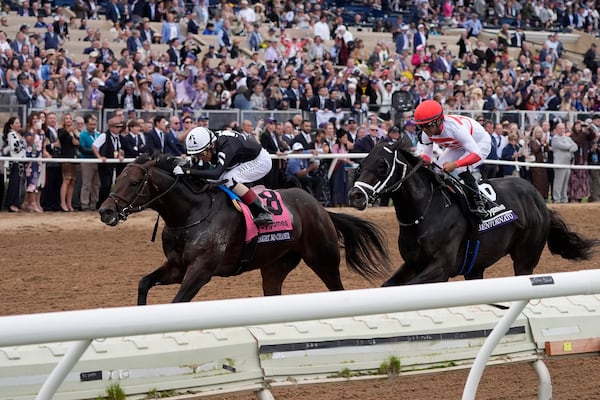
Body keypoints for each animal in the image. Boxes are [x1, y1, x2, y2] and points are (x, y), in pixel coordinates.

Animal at [98, 155, 392, 304]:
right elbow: (143, 283)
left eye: (134, 182)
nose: (105, 211)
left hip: (323, 258)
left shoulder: (201, 270)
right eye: (119, 177)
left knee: (337, 289)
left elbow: (177, 302)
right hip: (274, 267)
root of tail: (319, 207)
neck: (190, 213)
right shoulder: (177, 267)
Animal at [346, 141, 596, 284]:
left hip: (525, 259)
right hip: (475, 265)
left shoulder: (440, 268)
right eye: (361, 164)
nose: (355, 195)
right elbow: (387, 286)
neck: (424, 213)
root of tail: (539, 200)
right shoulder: (412, 264)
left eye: (383, 165)